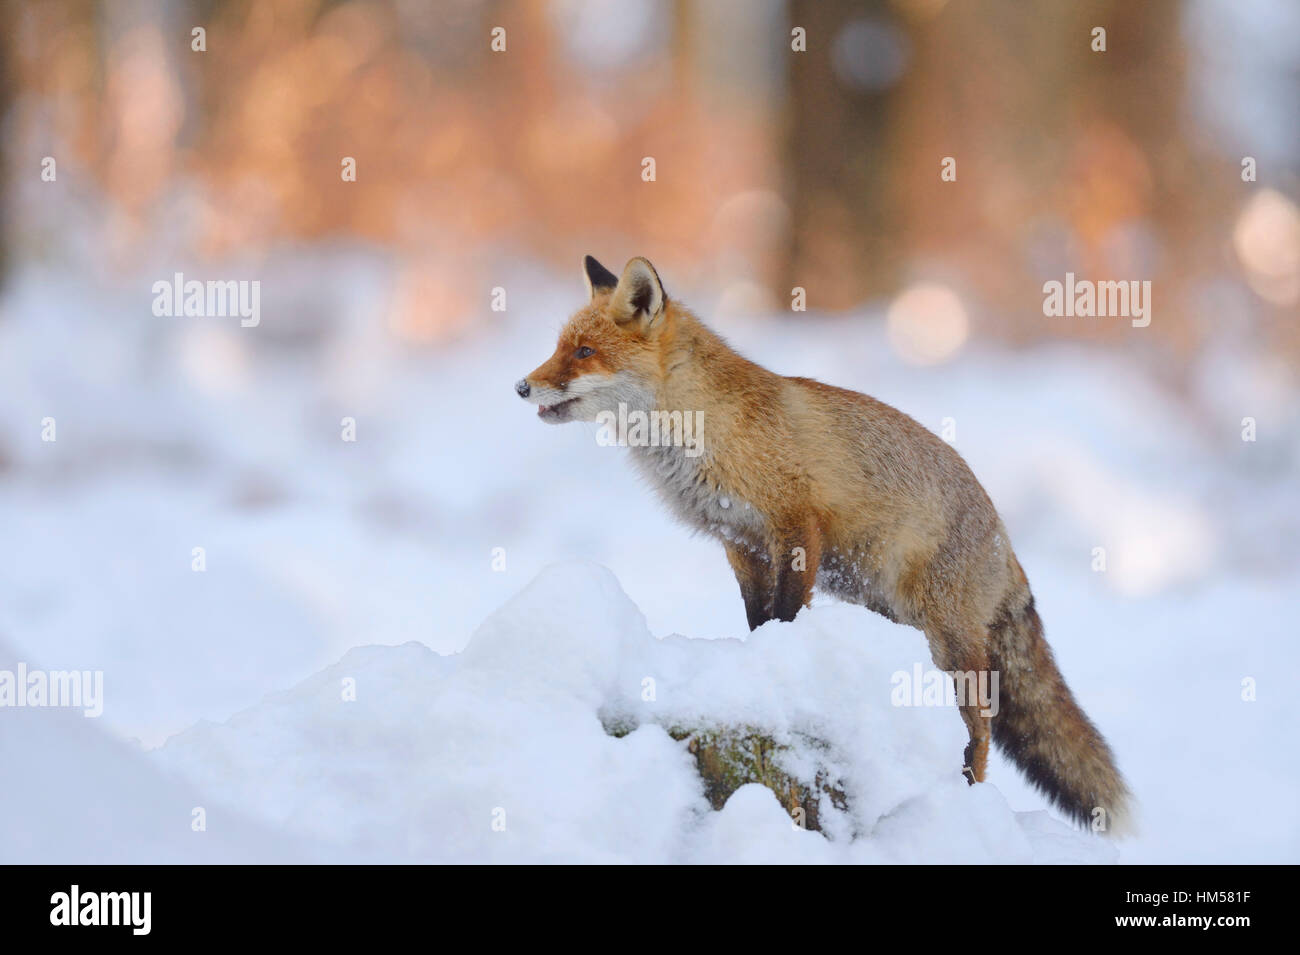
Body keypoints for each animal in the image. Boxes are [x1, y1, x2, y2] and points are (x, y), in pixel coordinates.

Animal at [515, 254, 1130, 832]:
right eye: (559, 348)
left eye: (585, 352)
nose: (522, 386)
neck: (702, 429)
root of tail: (1005, 540)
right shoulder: (741, 543)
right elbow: (758, 619)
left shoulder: (796, 524)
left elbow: (788, 612)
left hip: (947, 642)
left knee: (980, 728)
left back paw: (969, 794)